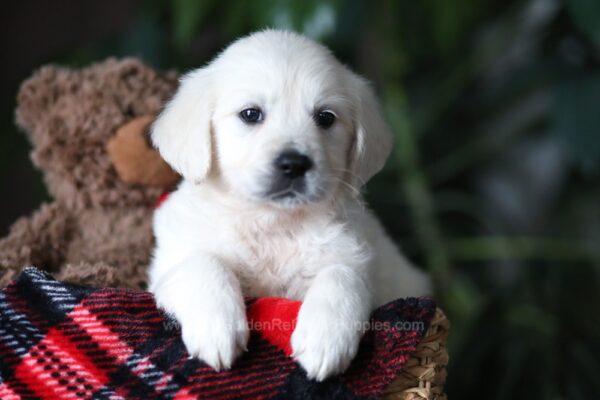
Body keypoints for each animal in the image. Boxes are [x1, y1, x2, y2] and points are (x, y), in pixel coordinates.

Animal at [150, 29, 432, 380]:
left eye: (325, 118)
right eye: (250, 114)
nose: (294, 164)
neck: (274, 223)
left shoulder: (360, 261)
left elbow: (342, 275)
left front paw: (325, 341)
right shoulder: (168, 266)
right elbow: (203, 263)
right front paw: (217, 329)